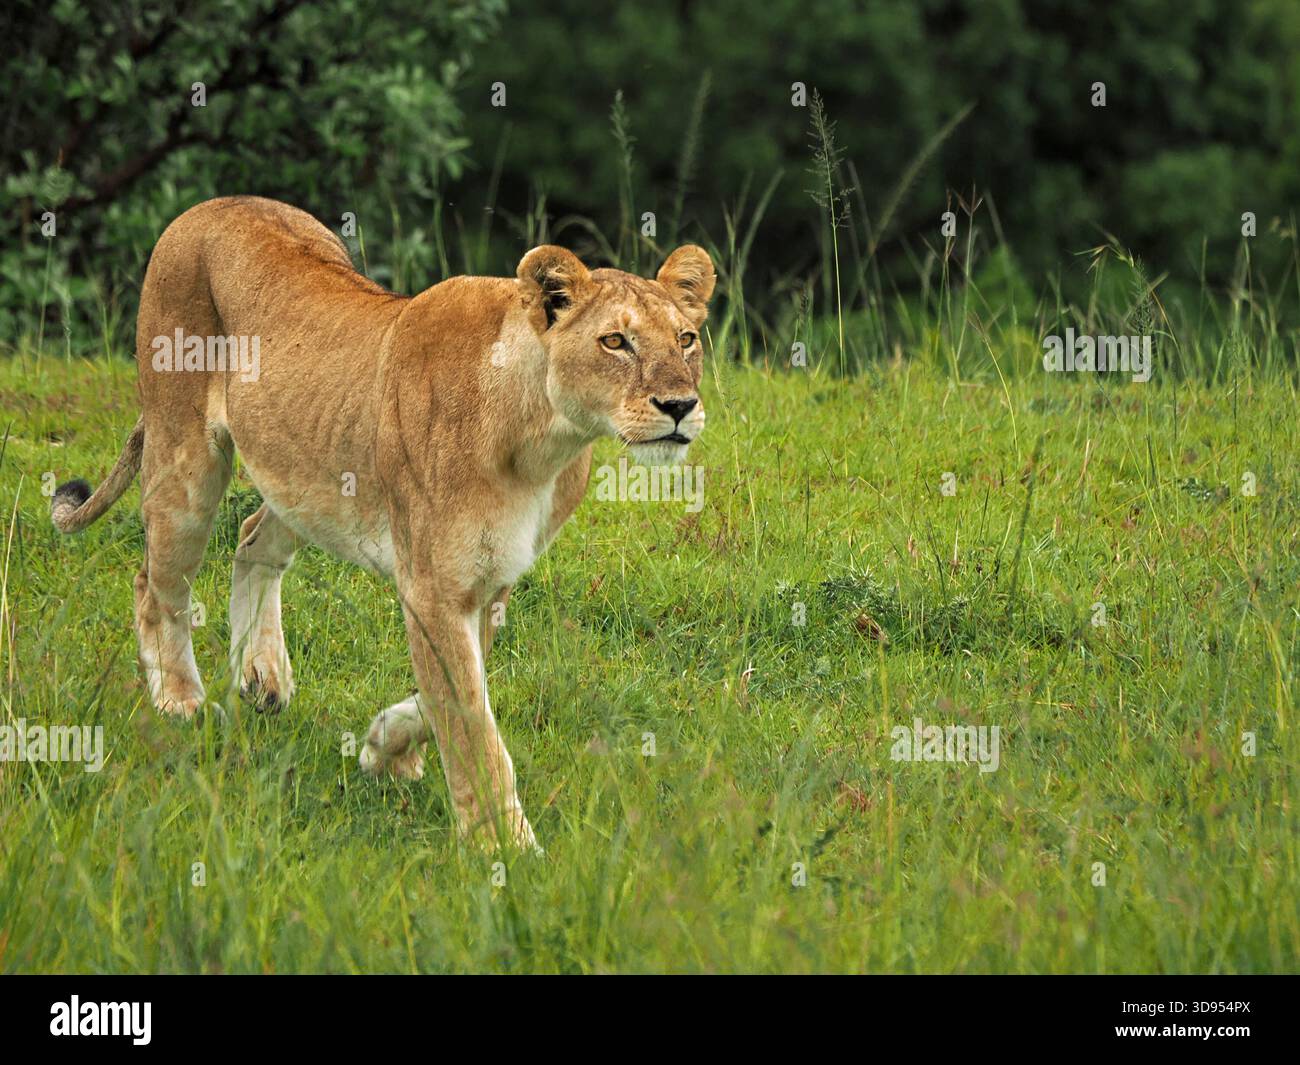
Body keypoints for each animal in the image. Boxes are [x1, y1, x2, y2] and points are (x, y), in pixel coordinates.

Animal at [51, 196, 714, 850]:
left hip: (305, 470)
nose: (680, 406)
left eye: (686, 339)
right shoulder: (435, 585)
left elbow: (445, 697)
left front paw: (384, 748)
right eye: (615, 342)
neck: (542, 439)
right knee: (155, 583)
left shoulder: (489, 582)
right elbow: (470, 722)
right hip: (186, 458)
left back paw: (262, 674)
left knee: (251, 538)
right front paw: (505, 847)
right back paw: (180, 701)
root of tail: (209, 205)